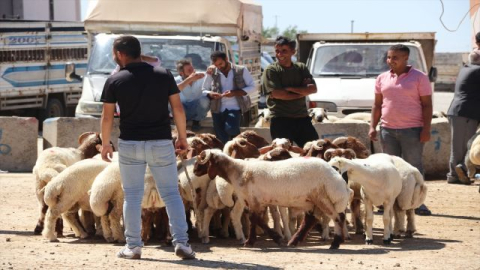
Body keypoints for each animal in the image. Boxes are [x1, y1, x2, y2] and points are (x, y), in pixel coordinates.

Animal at [192, 149, 352, 250]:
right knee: (310, 220)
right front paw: (274, 238)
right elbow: (257, 220)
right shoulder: (255, 201)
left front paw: (252, 241)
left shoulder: (253, 200)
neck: (238, 171)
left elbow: (254, 219)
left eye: (202, 161)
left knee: (337, 217)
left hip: (323, 197)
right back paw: (294, 241)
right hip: (311, 200)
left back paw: (335, 243)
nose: (194, 171)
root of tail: (338, 178)